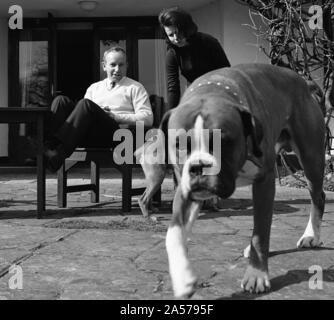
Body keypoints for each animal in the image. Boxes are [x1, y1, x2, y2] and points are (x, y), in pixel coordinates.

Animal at [150, 63, 324, 298]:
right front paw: (182, 278)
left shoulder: (264, 181)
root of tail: (304, 82)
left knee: (317, 196)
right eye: (179, 144)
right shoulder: (184, 193)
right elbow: (173, 234)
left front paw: (256, 275)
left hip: (310, 159)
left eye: (224, 142)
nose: (198, 166)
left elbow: (260, 233)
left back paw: (311, 235)